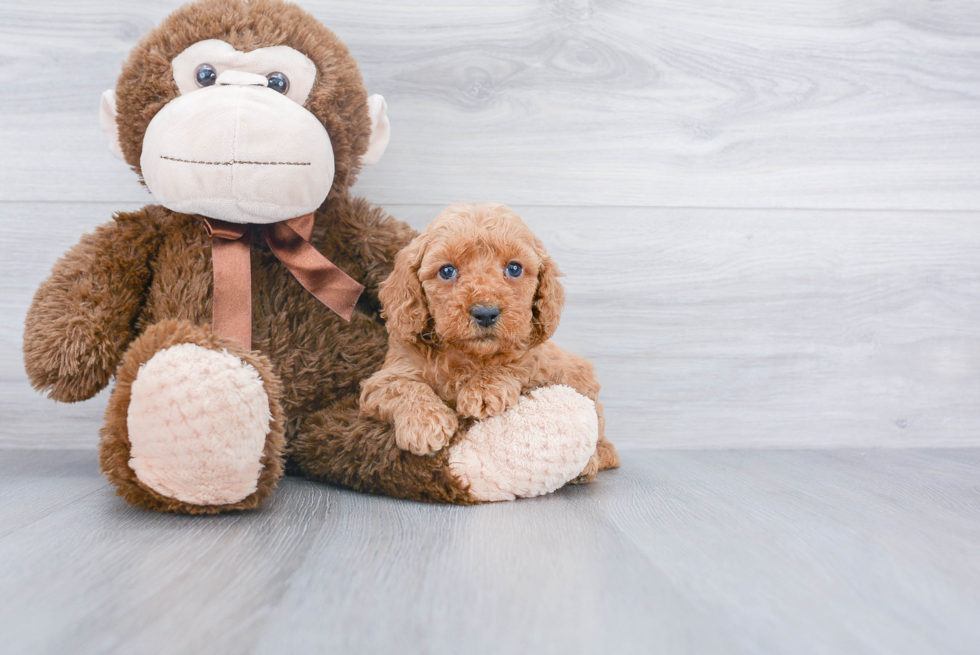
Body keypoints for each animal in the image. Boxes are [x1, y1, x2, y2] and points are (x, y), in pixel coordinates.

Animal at [360, 202, 620, 484]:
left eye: (514, 268)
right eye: (447, 271)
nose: (485, 313)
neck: (468, 355)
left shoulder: (539, 361)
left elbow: (517, 363)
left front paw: (483, 390)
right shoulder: (386, 376)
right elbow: (403, 386)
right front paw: (425, 423)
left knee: (601, 434)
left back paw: (591, 463)